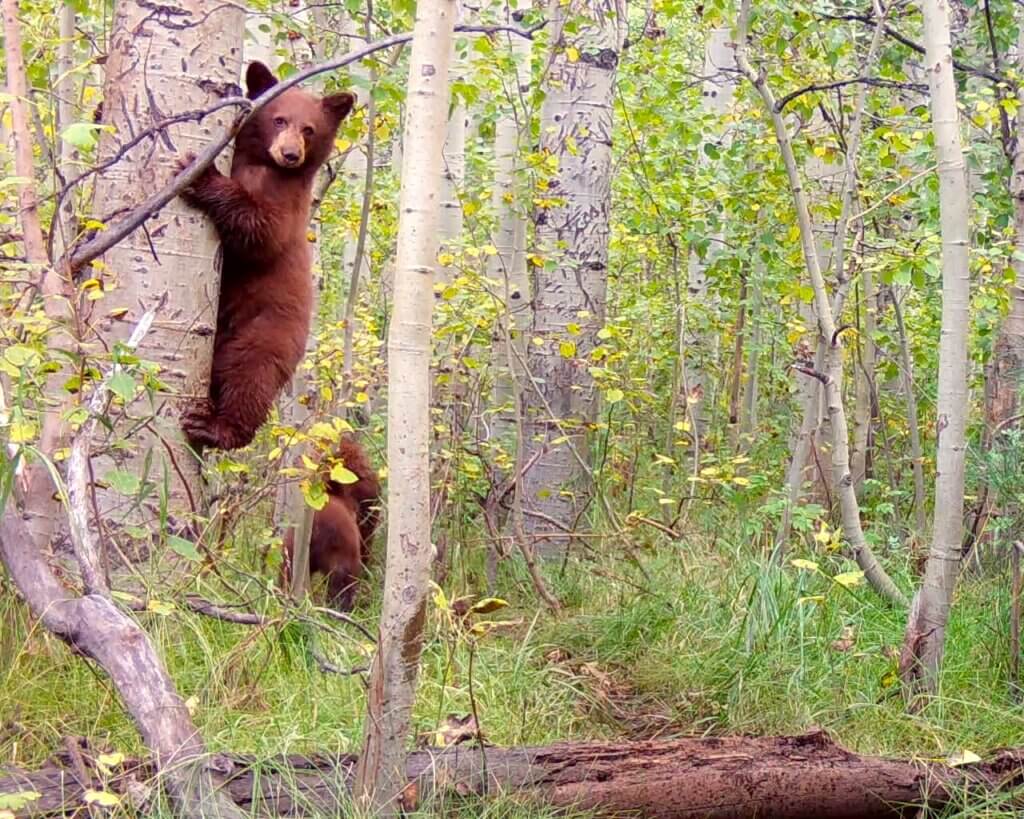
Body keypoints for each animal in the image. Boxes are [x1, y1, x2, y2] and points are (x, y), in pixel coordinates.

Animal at [176, 62, 355, 451]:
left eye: (309, 129)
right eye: (279, 119)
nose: (290, 154)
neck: (262, 165)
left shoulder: (288, 205)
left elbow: (261, 233)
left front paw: (203, 175)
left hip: (265, 337)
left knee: (249, 380)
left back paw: (214, 426)